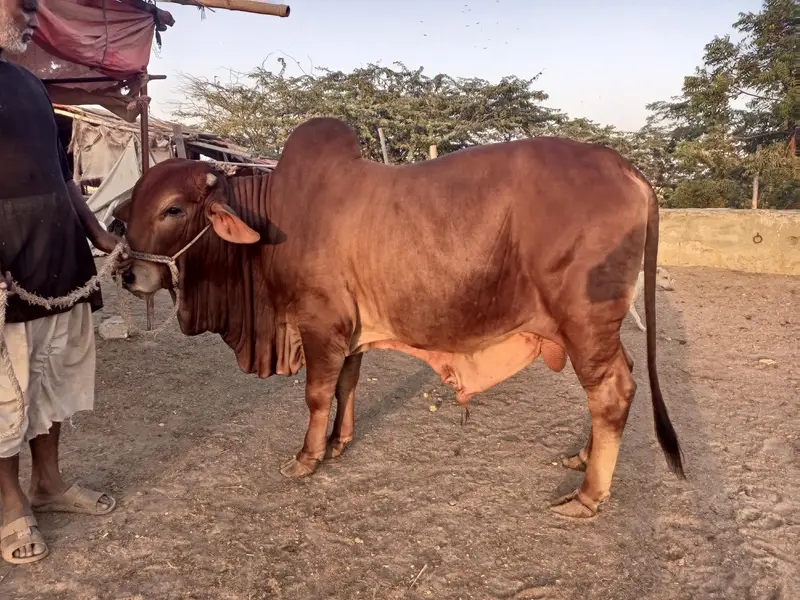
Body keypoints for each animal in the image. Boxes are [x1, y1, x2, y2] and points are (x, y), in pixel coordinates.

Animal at [115, 117, 684, 519]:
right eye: (127, 209)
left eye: (172, 209)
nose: (128, 274)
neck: (272, 216)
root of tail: (631, 171)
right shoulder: (351, 331)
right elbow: (346, 384)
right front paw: (338, 443)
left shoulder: (320, 322)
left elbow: (317, 393)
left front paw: (306, 458)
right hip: (594, 328)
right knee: (623, 379)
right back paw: (583, 459)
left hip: (585, 322)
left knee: (611, 391)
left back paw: (588, 495)